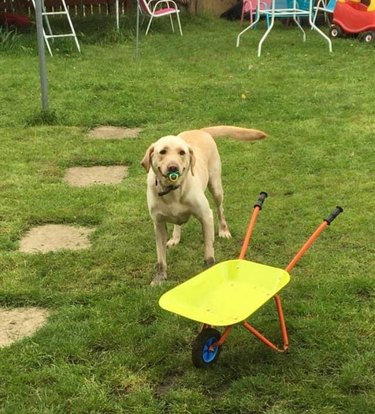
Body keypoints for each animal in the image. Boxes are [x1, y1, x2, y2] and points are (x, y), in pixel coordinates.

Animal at [141, 125, 268, 284]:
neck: (173, 192)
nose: (173, 167)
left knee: (220, 209)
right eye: (162, 152)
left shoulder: (206, 216)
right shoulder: (158, 224)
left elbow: (208, 251)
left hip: (216, 187)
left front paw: (209, 273)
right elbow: (160, 257)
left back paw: (224, 230)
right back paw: (175, 237)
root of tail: (200, 130)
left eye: (182, 153)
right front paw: (159, 277)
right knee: (177, 223)